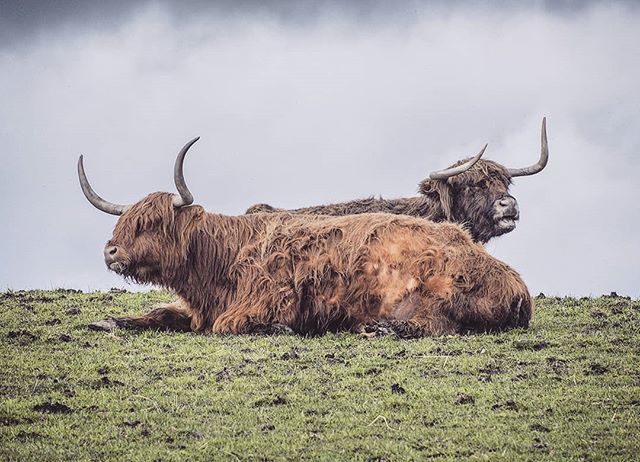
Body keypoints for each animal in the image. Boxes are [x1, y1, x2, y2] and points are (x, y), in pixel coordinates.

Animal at [78, 138, 533, 337]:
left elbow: (228, 327)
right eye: (125, 222)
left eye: (152, 223)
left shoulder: (257, 305)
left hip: (436, 293)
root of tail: (516, 284)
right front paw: (109, 320)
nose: (110, 250)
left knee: (435, 325)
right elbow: (158, 313)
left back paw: (378, 329)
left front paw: (281, 329)